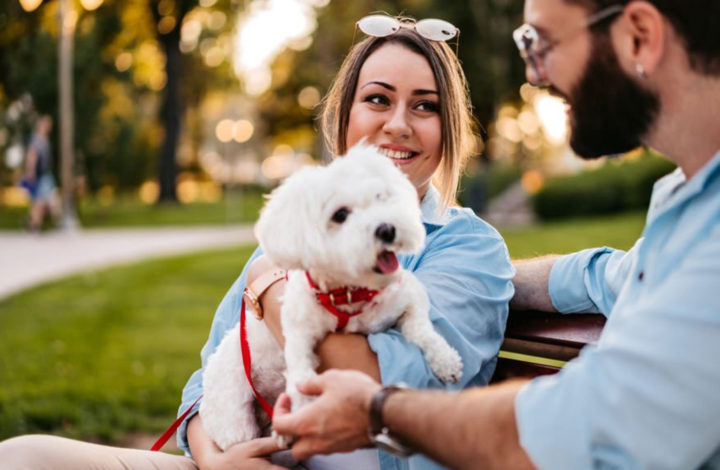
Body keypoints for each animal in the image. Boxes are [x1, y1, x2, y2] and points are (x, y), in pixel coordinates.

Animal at [200, 144, 464, 452]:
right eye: (340, 215)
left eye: (380, 197)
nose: (387, 229)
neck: (349, 291)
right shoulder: (298, 334)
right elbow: (300, 374)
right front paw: (300, 413)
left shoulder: (409, 297)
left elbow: (421, 329)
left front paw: (445, 360)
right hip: (235, 421)